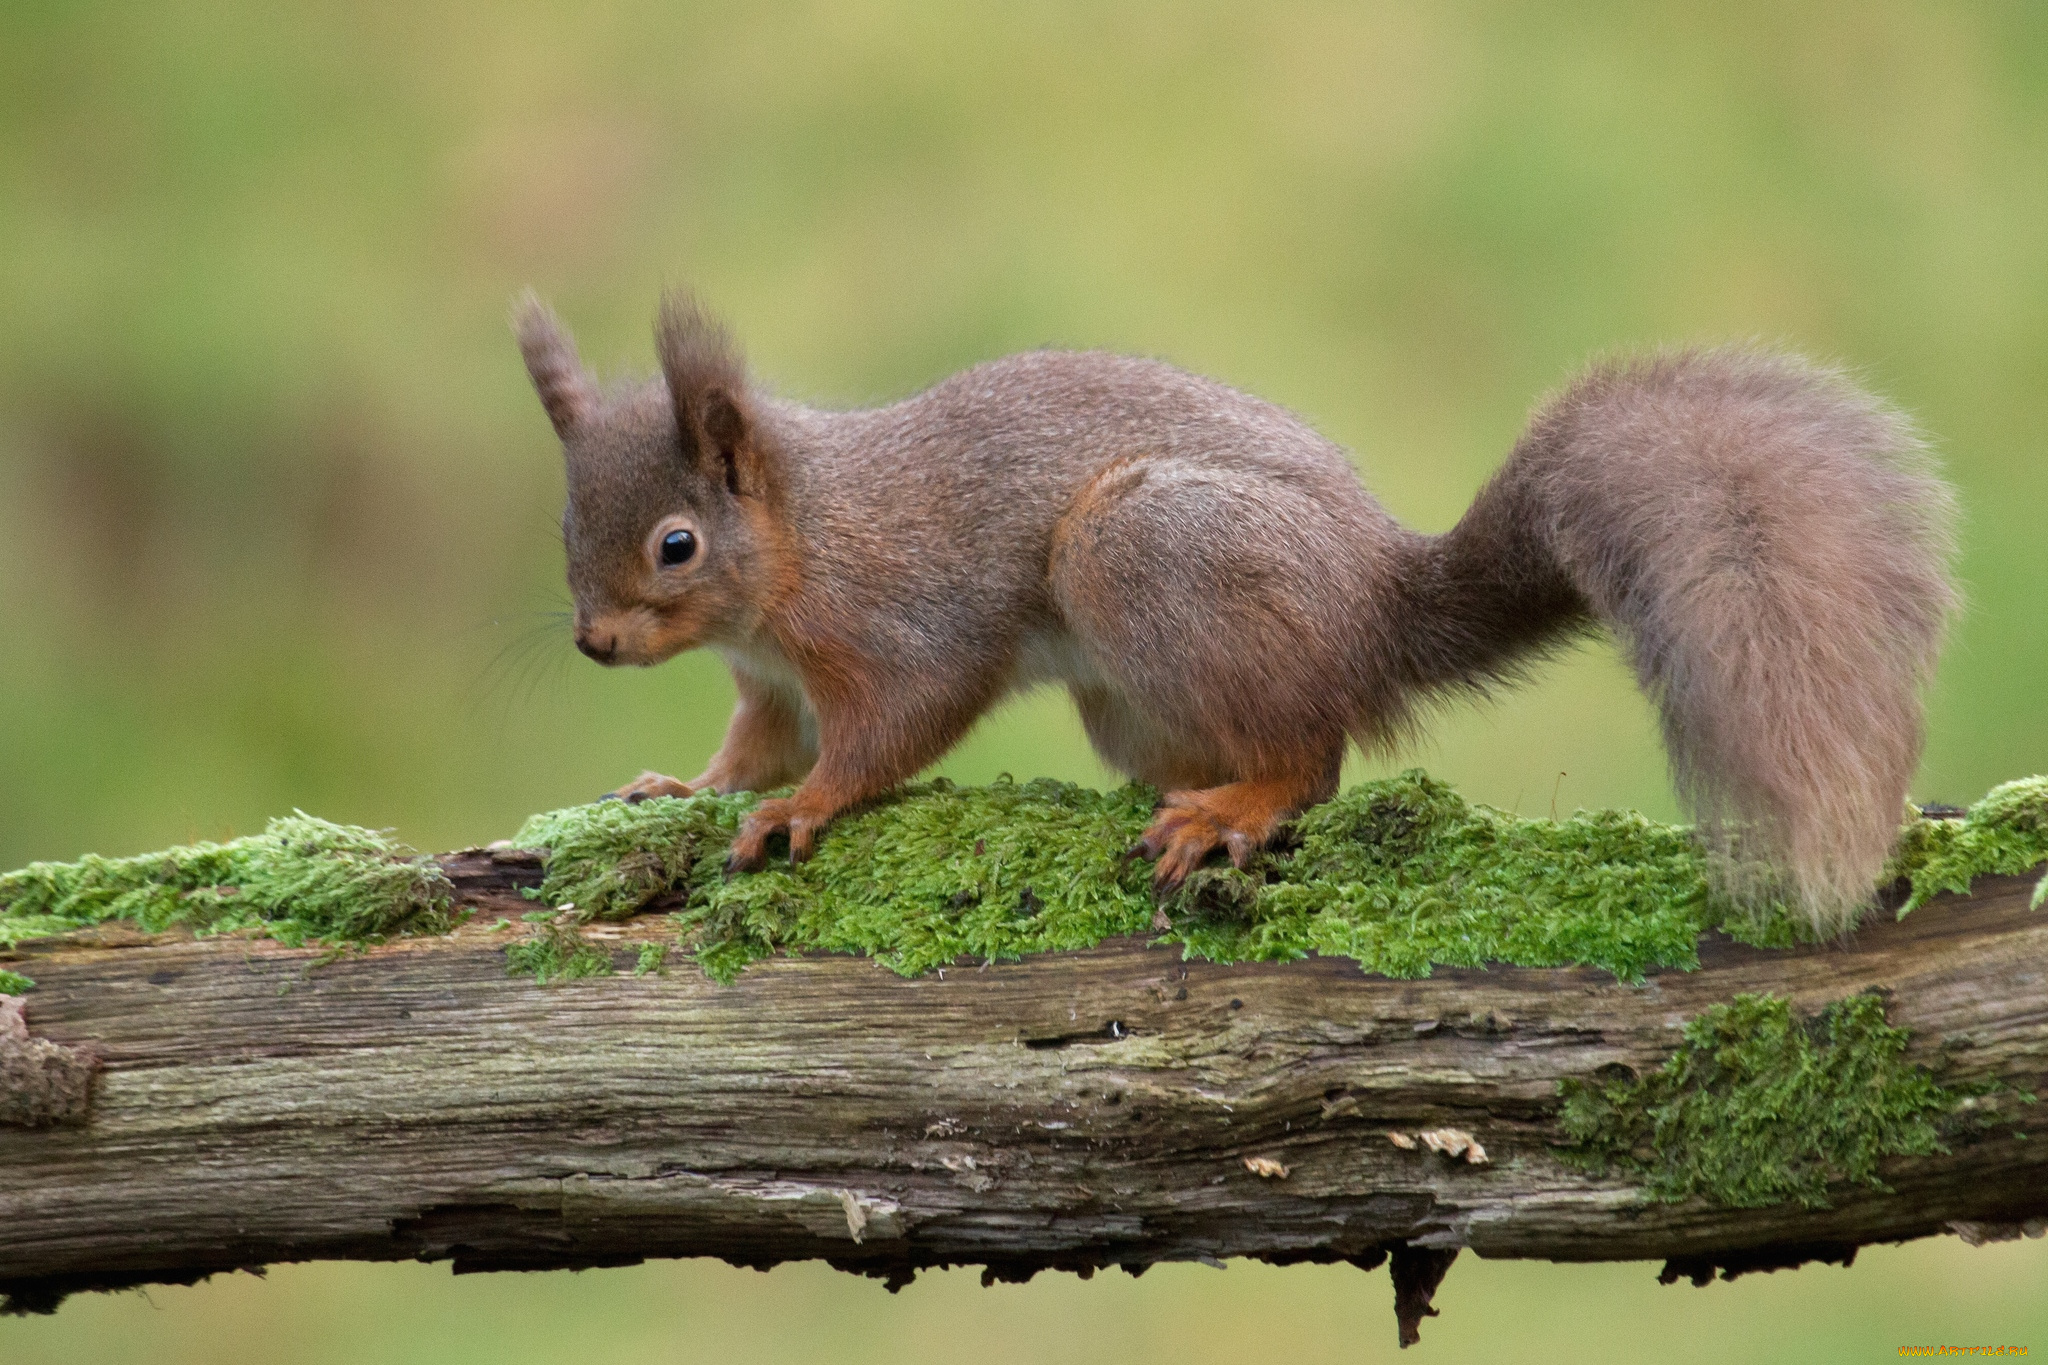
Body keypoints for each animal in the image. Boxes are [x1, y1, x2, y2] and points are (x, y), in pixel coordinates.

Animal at [512, 286, 1949, 929]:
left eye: (677, 545)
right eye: (565, 533)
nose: (592, 641)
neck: (799, 541)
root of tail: (1376, 605)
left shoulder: (902, 619)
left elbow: (890, 730)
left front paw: (802, 810)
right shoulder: (770, 682)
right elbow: (754, 746)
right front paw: (685, 788)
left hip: (1144, 552)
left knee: (1313, 757)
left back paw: (1233, 809)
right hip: (1130, 698)